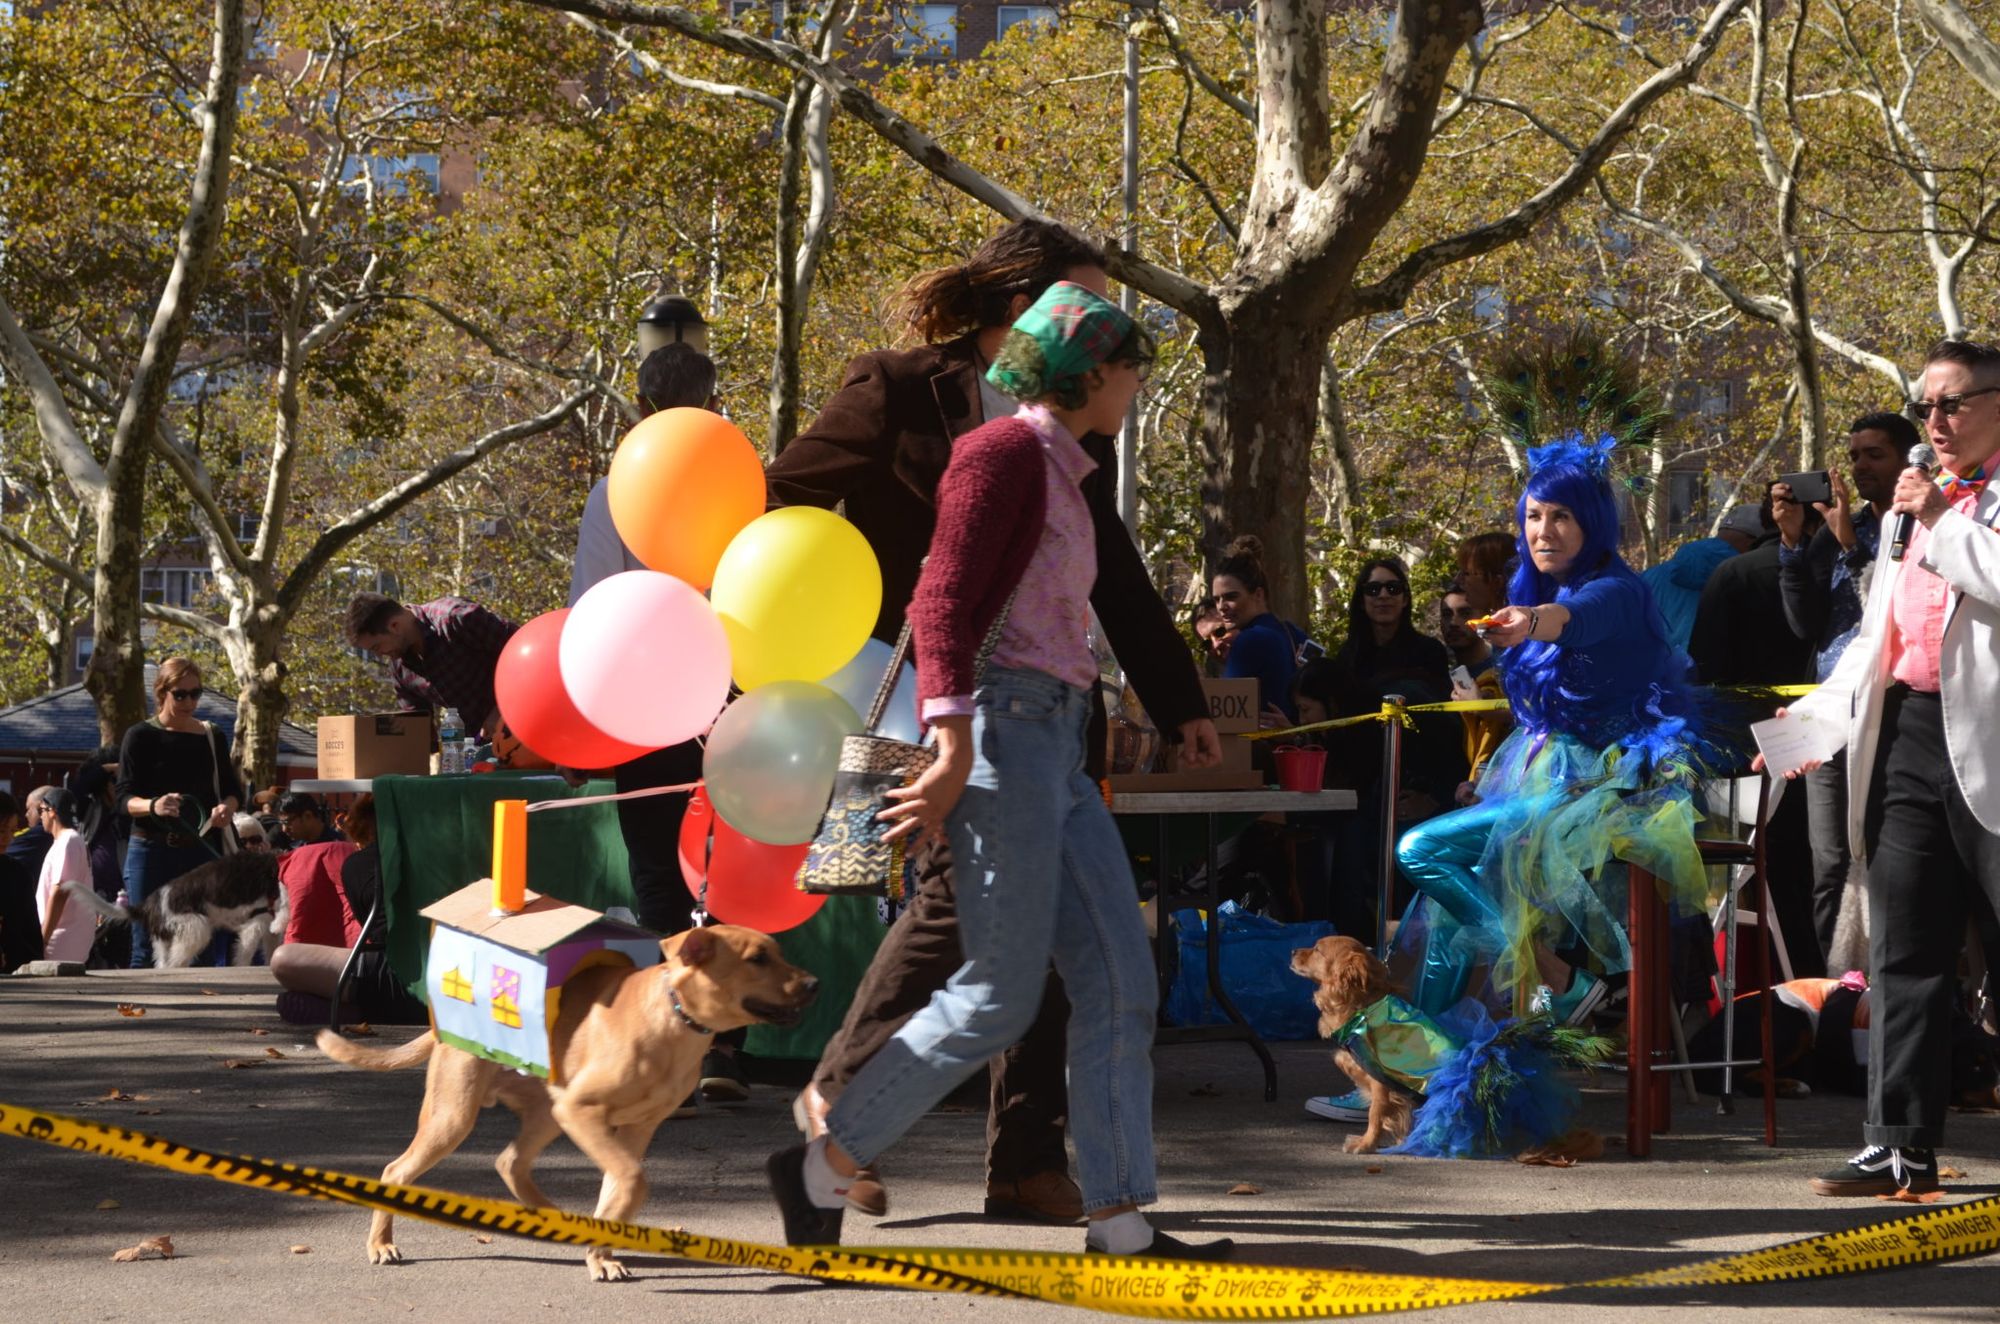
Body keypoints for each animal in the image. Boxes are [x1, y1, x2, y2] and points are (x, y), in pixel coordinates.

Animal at [61, 856, 286, 972]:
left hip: (166, 939)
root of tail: (149, 903)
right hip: (196, 928)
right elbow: (245, 953)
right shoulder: (255, 924)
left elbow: (272, 949)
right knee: (175, 962)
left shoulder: (269, 928)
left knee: (164, 963)